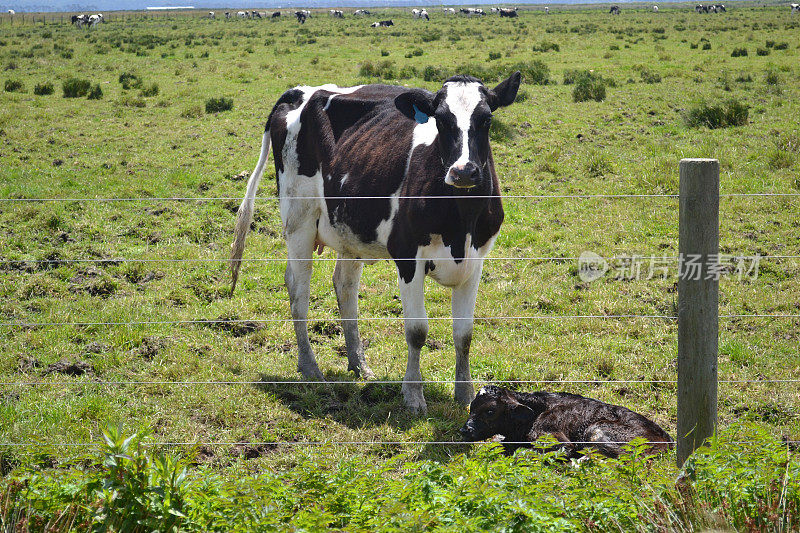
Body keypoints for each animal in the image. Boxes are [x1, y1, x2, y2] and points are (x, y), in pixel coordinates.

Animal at [228, 71, 520, 412]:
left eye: (487, 119)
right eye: (440, 119)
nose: (463, 171)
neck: (460, 224)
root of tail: (300, 90)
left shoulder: (476, 260)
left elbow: (464, 334)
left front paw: (465, 395)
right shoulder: (408, 256)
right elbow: (417, 330)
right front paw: (413, 395)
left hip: (349, 230)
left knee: (344, 287)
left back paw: (359, 365)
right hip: (299, 219)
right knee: (298, 291)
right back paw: (310, 368)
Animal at [460, 384, 672, 456]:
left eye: (490, 411)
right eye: (472, 407)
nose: (465, 430)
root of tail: (668, 440)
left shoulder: (554, 437)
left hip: (597, 430)